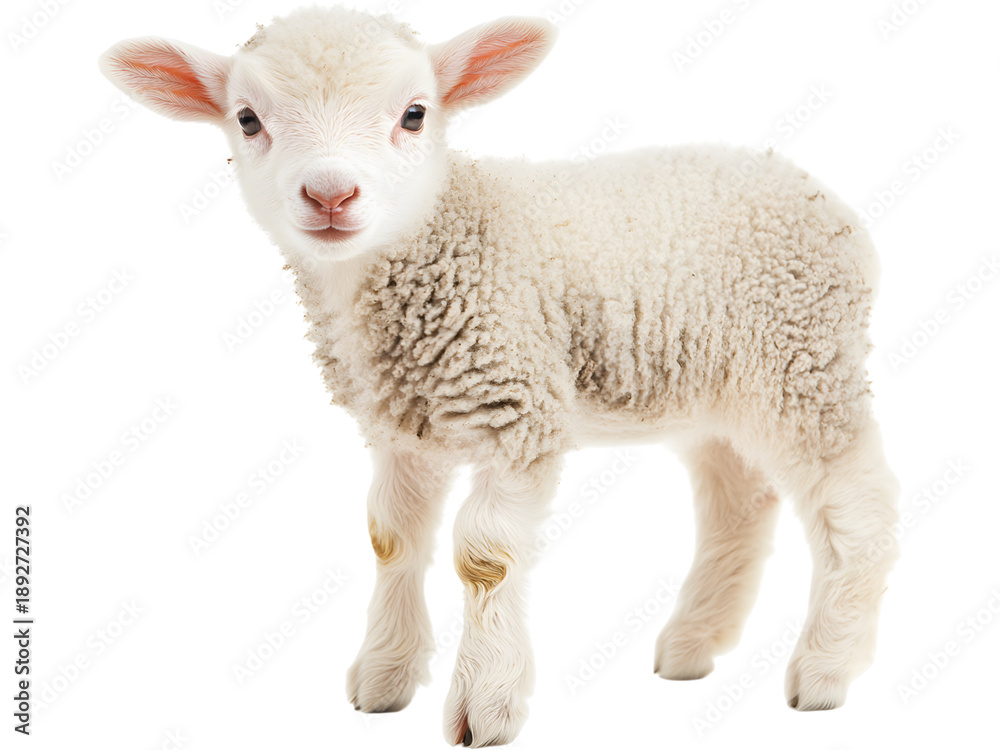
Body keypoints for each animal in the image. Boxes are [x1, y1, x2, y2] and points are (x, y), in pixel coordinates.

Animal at [99, 6, 900, 746]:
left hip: (804, 365)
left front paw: (485, 705)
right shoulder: (403, 429)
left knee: (857, 505)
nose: (330, 196)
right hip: (716, 388)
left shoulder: (517, 408)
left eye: (415, 114)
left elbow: (483, 555)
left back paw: (825, 671)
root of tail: (814, 191)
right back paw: (691, 646)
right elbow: (391, 538)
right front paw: (384, 679)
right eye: (248, 118)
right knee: (738, 501)